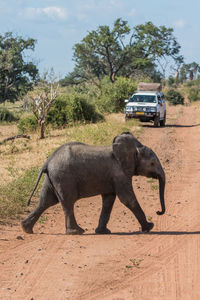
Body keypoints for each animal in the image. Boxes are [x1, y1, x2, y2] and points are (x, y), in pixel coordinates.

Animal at [21, 132, 166, 236]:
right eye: (152, 163)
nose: (158, 212)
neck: (133, 148)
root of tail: (47, 161)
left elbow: (109, 201)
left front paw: (103, 232)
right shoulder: (120, 173)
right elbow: (127, 199)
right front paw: (149, 227)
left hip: (52, 178)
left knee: (46, 201)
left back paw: (26, 229)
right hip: (63, 178)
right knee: (67, 202)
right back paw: (77, 232)